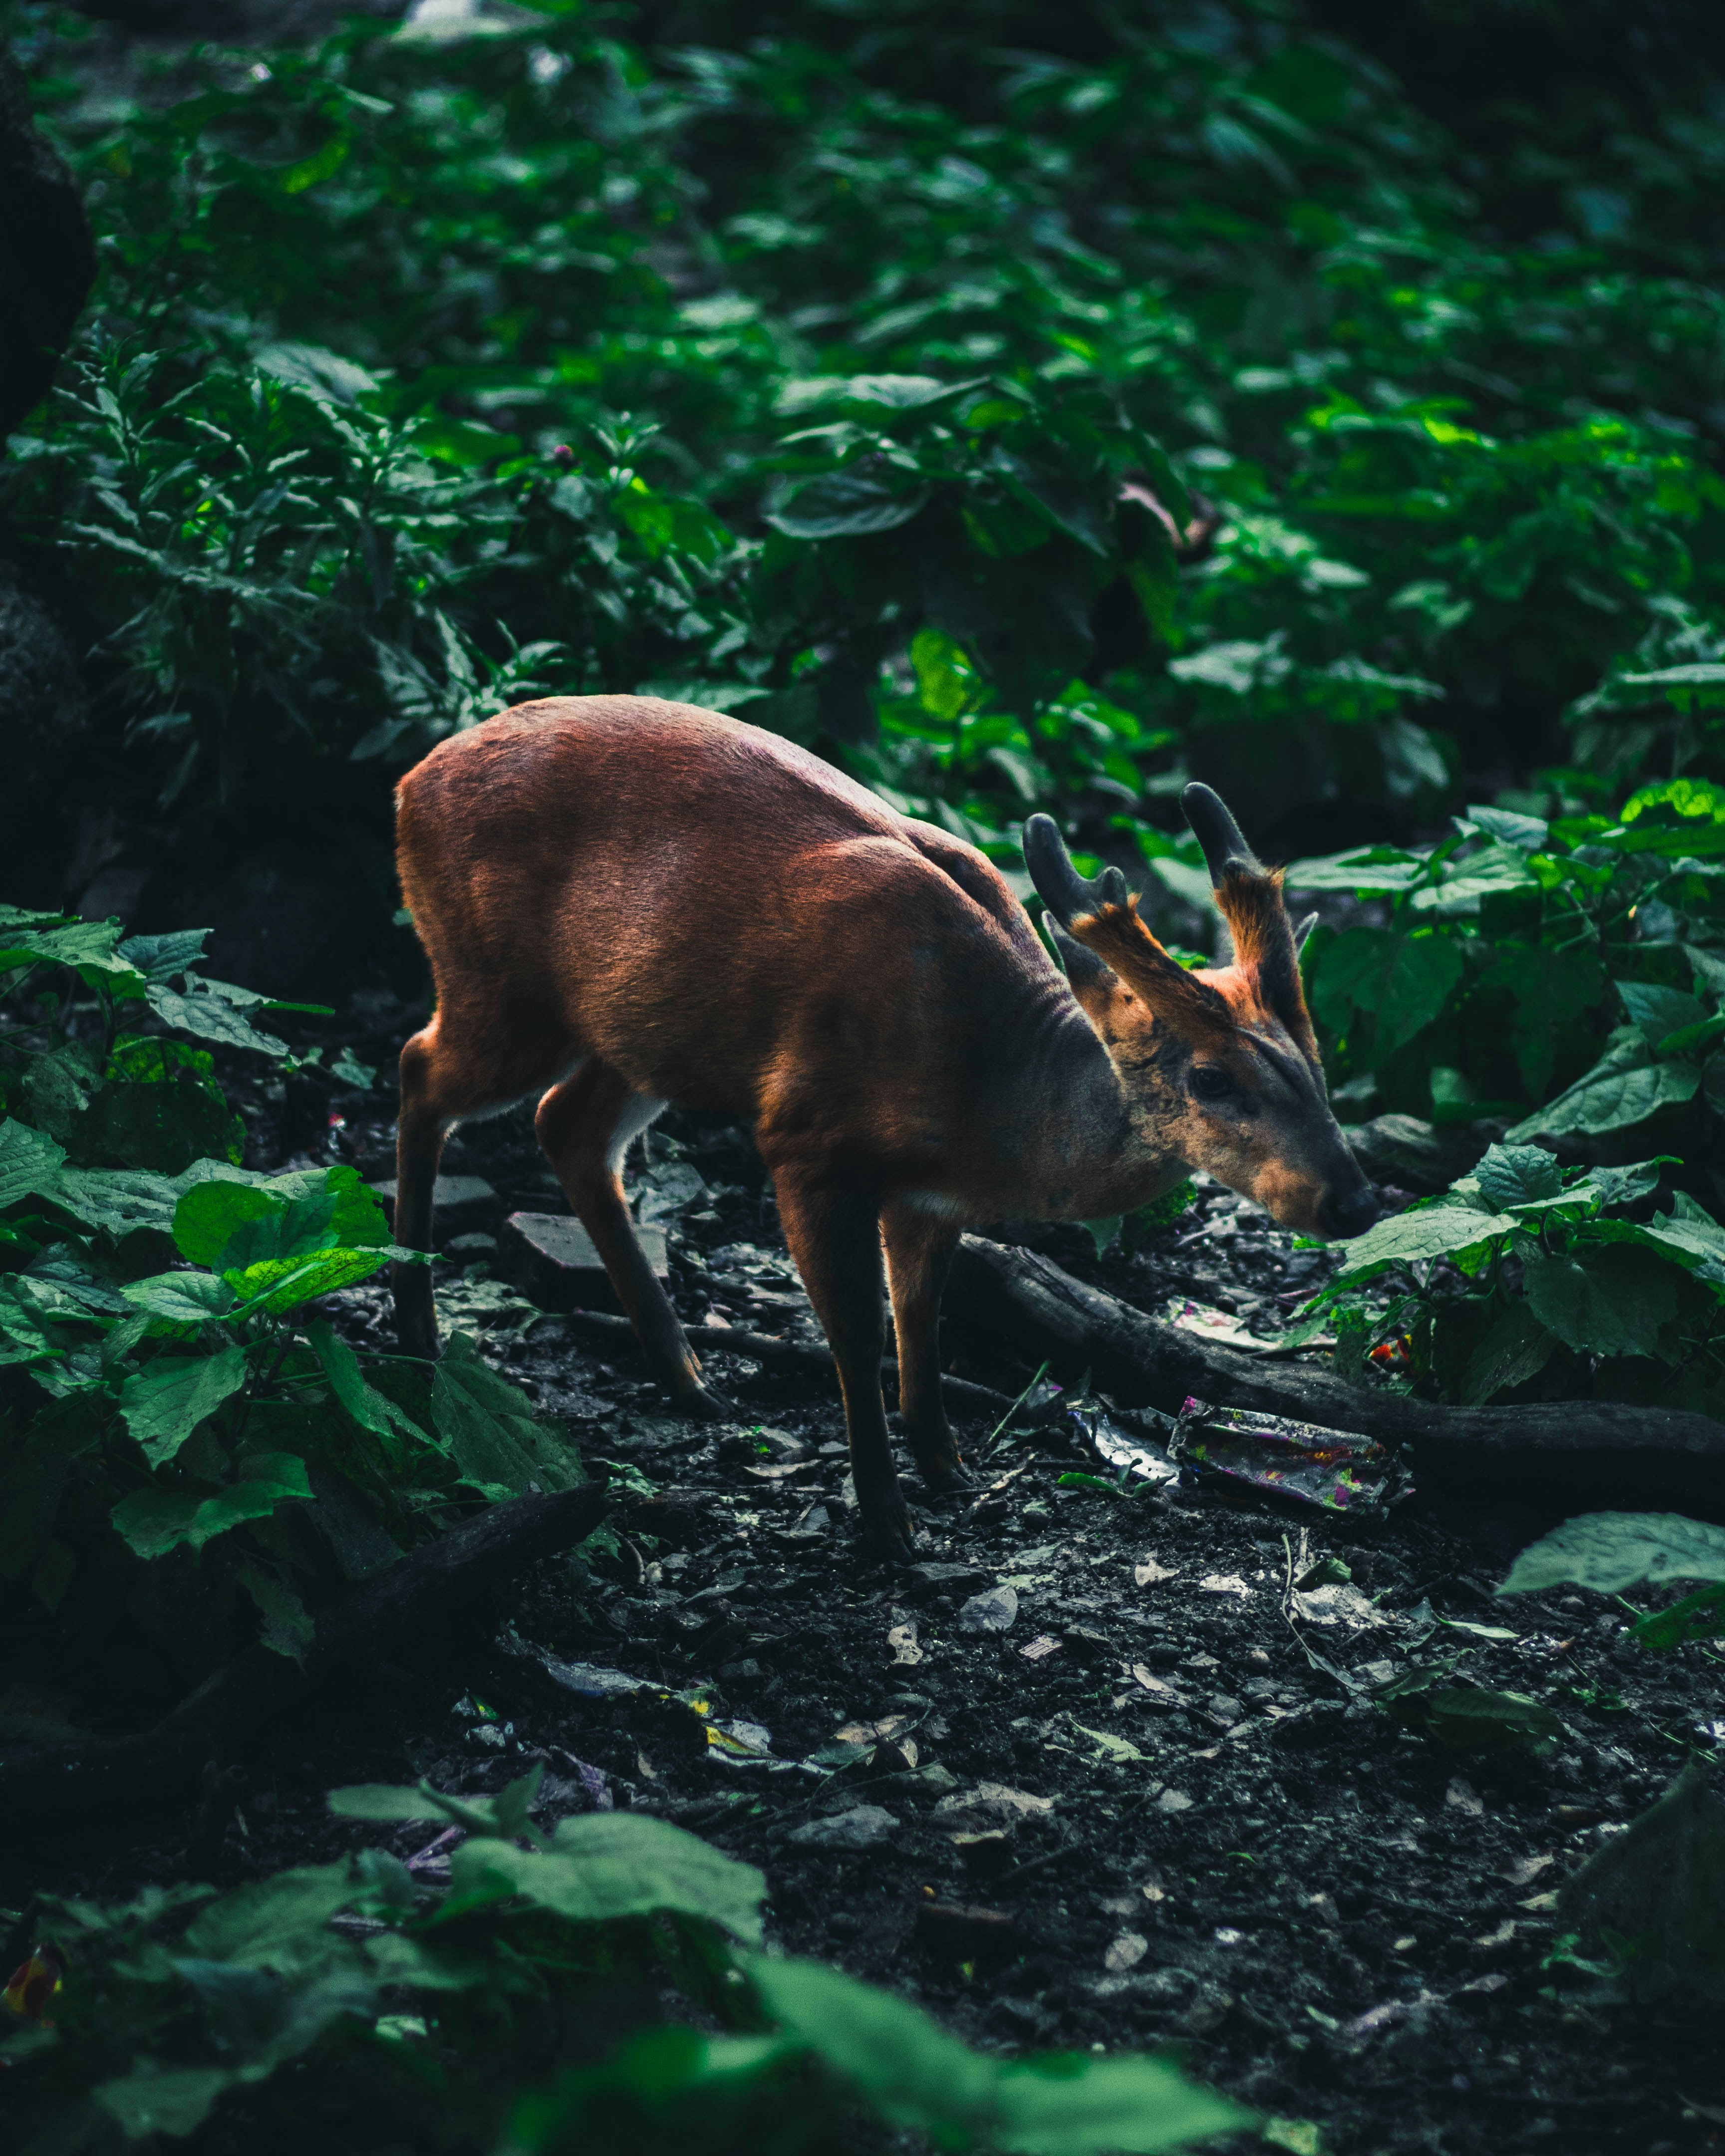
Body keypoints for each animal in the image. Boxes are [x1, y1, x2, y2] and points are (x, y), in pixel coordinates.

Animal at [391, 696, 1378, 1562]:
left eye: (1316, 1064)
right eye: (1210, 1078)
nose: (1353, 1202)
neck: (985, 1097)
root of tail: (410, 783)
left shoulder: (927, 1197)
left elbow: (922, 1320)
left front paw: (949, 1471)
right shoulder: (804, 1141)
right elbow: (857, 1332)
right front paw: (886, 1527)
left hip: (638, 1034)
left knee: (568, 1127)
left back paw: (687, 1378)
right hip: (500, 982)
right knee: (418, 1067)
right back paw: (416, 1339)